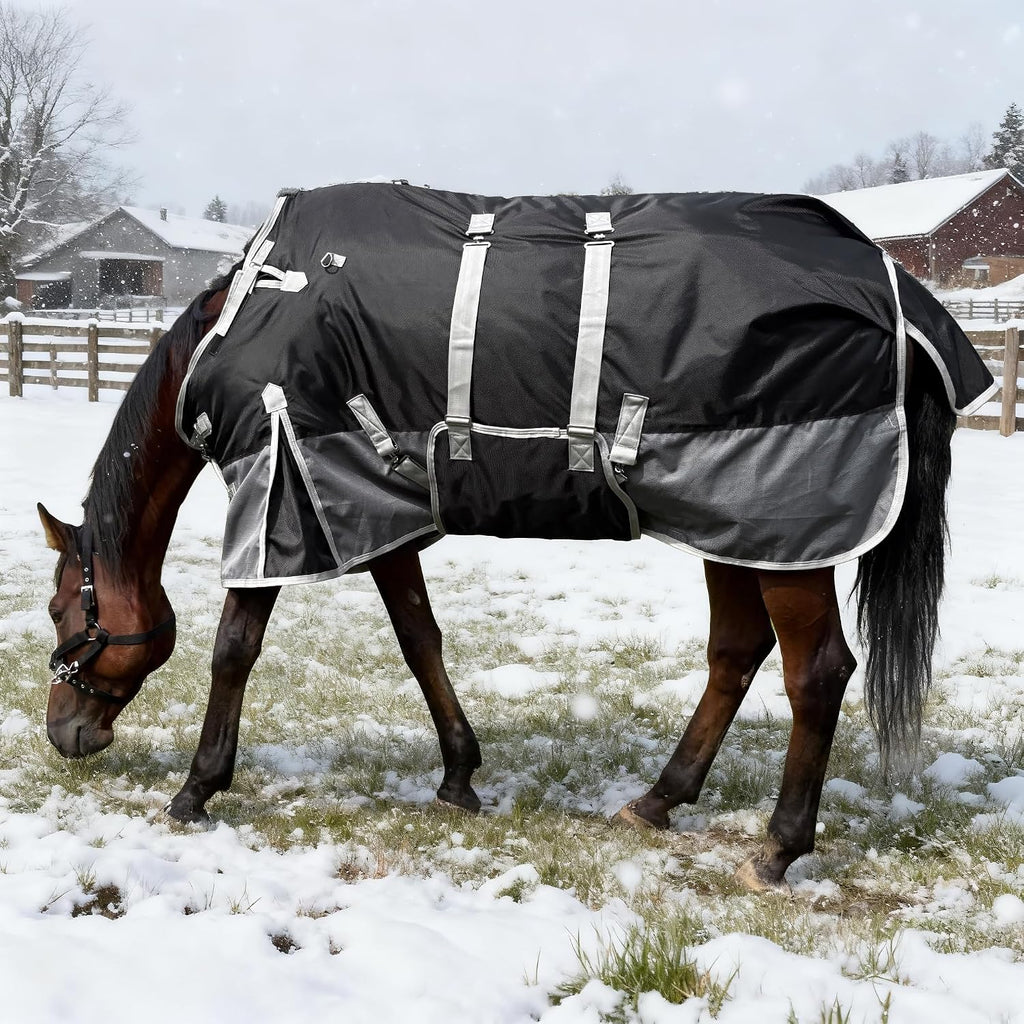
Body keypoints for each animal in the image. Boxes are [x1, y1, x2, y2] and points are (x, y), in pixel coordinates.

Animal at [39, 185, 983, 892]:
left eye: (59, 611)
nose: (62, 734)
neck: (251, 312)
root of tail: (899, 296)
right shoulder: (371, 503)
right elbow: (420, 638)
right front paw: (459, 774)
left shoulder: (281, 488)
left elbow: (234, 647)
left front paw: (197, 787)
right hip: (737, 525)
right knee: (737, 652)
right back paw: (659, 800)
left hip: (787, 529)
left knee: (815, 672)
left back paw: (779, 847)